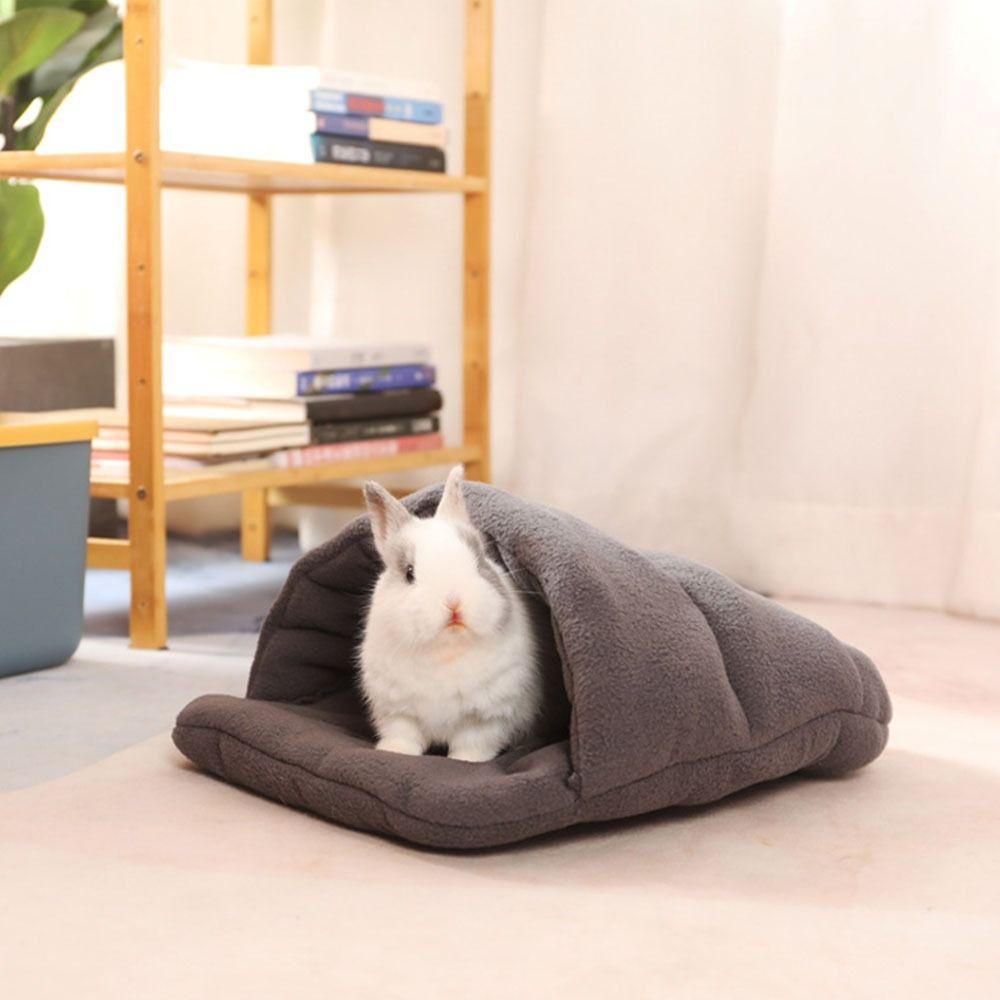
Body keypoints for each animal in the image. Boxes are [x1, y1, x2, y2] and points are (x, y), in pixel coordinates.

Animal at [359, 466, 540, 762]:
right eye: (409, 573)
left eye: (480, 562)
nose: (454, 603)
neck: (445, 652)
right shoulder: (396, 710)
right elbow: (403, 735)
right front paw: (394, 752)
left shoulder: (487, 717)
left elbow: (473, 742)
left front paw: (465, 761)